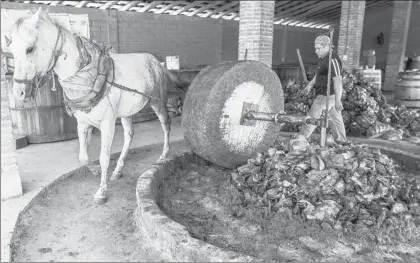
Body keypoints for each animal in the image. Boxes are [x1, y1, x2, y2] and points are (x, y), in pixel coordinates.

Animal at [6, 7, 187, 203]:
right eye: (11, 50)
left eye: (29, 49)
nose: (19, 93)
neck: (88, 76)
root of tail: (157, 62)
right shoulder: (83, 123)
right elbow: (83, 157)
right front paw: (96, 170)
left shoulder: (107, 124)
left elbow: (104, 157)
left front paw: (101, 192)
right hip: (127, 112)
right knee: (129, 135)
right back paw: (118, 170)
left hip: (157, 102)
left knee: (166, 124)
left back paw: (163, 156)